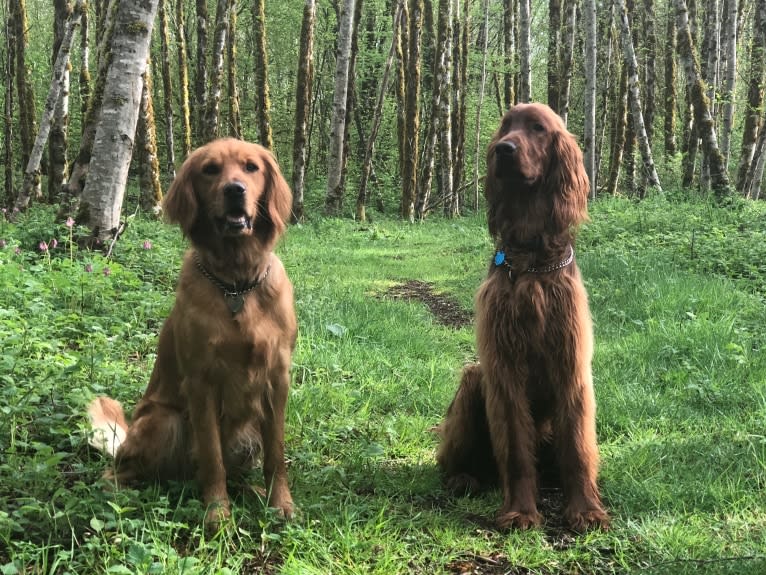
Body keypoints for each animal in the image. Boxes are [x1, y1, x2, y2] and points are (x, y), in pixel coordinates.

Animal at [440, 103, 608, 532]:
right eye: (505, 126)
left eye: (537, 128)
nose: (504, 150)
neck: (532, 261)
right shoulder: (504, 369)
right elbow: (515, 448)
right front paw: (520, 511)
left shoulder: (571, 365)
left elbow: (578, 449)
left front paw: (586, 509)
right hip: (473, 379)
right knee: (449, 459)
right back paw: (463, 477)